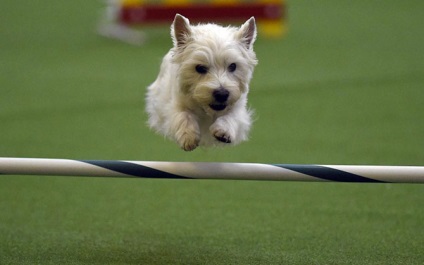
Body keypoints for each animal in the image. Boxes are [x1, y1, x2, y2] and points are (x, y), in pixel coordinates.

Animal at [146, 14, 258, 151]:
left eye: (233, 66)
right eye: (200, 68)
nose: (221, 94)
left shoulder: (238, 105)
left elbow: (231, 116)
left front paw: (223, 131)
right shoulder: (174, 104)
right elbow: (183, 115)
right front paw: (188, 137)